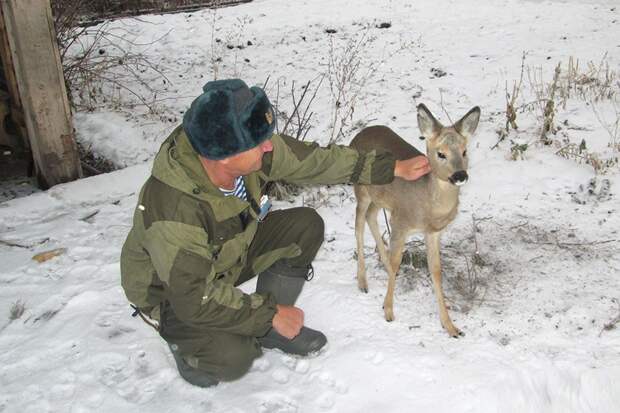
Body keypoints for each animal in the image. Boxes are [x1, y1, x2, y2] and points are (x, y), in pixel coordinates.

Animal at [348, 102, 480, 334]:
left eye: (465, 151)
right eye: (441, 153)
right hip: (361, 188)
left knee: (371, 216)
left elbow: (436, 270)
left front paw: (450, 326)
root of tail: (358, 135)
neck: (427, 204)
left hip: (381, 198)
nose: (460, 176)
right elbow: (397, 260)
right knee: (358, 223)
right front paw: (388, 310)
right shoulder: (400, 222)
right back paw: (362, 282)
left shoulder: (432, 232)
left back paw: (382, 267)